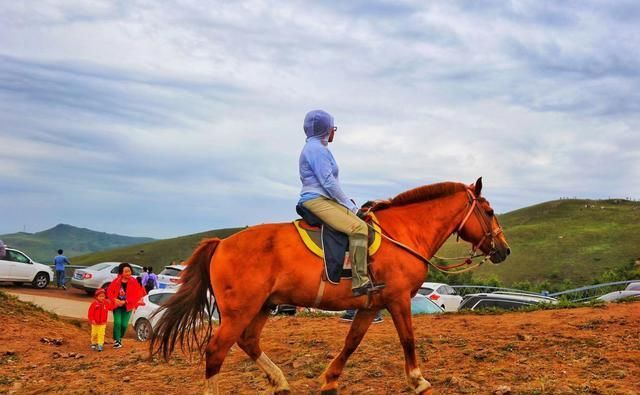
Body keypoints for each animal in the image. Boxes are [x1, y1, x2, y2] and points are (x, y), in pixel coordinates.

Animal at [151, 179, 510, 395]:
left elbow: (351, 343)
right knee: (216, 350)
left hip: (263, 305)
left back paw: (280, 382)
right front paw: (418, 380)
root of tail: (221, 243)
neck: (403, 233)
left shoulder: (369, 305)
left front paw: (330, 380)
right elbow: (408, 339)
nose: (504, 250)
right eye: (489, 211)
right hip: (241, 309)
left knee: (248, 341)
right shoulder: (397, 300)